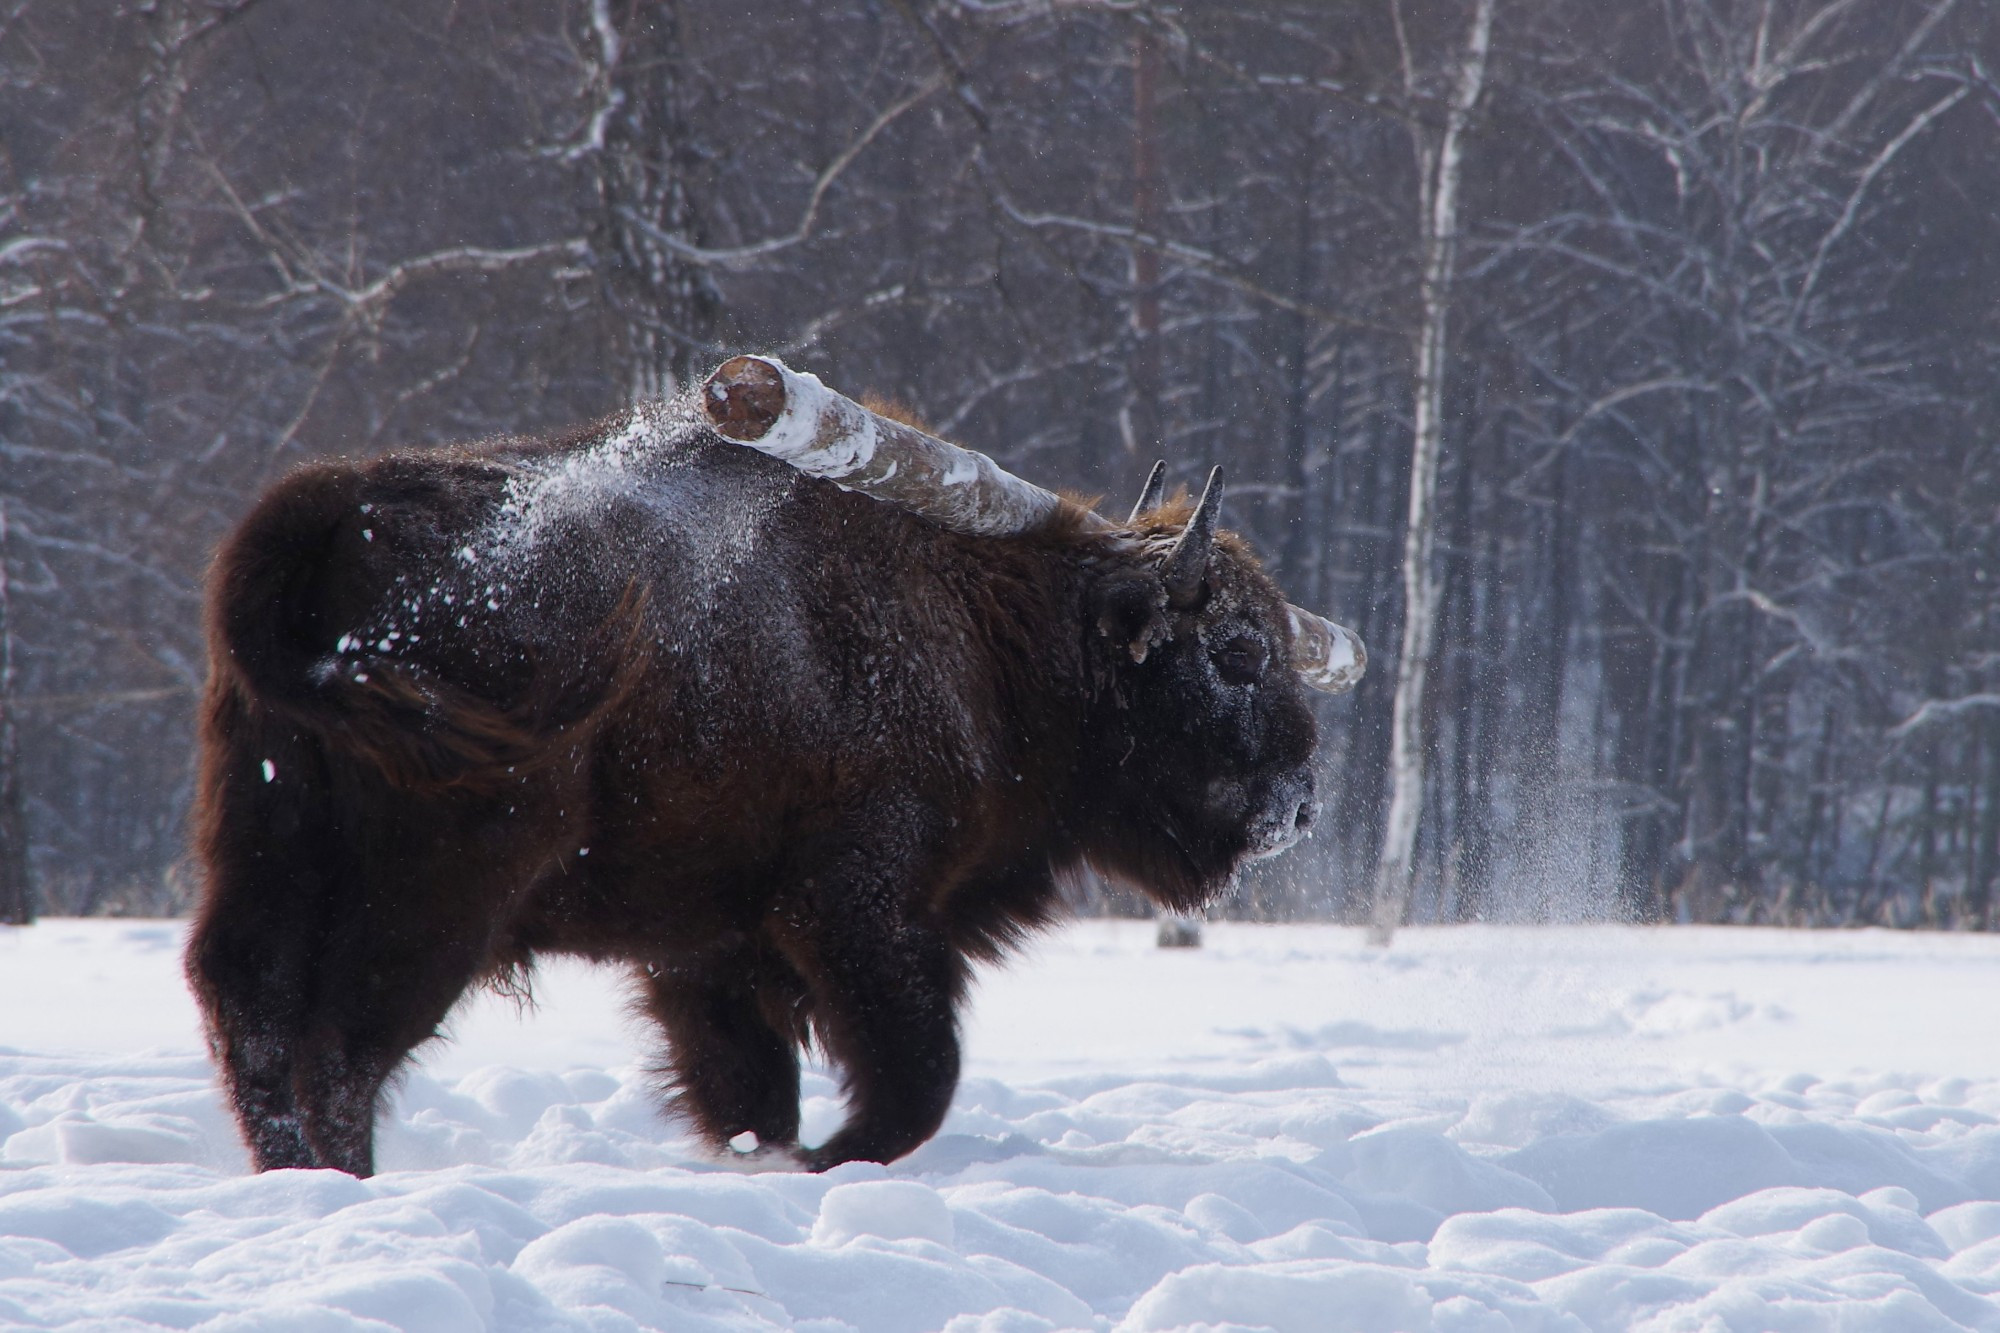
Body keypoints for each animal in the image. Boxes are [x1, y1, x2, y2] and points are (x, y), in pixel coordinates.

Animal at [188, 356, 1360, 1176]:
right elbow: (916, 1073)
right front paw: (831, 1159)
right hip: (447, 886)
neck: (995, 632)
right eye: (1238, 652)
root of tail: (326, 507)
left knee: (252, 1010)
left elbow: (752, 1087)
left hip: (272, 840)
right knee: (340, 1045)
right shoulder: (855, 906)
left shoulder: (710, 947)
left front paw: (772, 1155)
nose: (1300, 805)